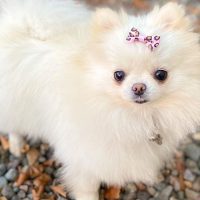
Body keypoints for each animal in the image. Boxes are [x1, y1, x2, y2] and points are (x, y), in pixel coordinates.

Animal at [0, 0, 200, 199]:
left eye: (161, 74)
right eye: (118, 75)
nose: (138, 87)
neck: (134, 117)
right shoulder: (86, 158)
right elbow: (88, 187)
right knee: (13, 127)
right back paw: (16, 145)